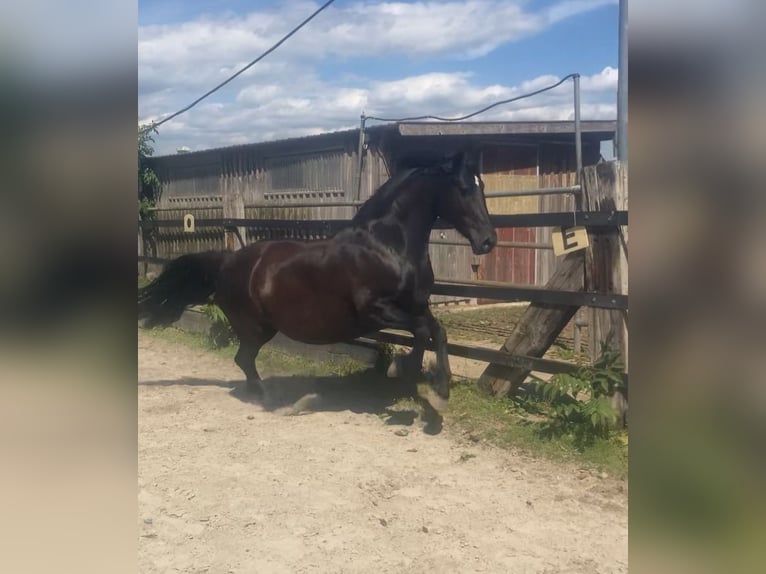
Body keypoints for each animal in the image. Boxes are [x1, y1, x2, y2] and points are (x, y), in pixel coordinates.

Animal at [140, 153, 498, 420]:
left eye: (482, 186)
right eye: (463, 188)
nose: (488, 241)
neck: (387, 246)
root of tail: (227, 261)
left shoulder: (417, 305)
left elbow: (438, 332)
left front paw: (440, 392)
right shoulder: (377, 311)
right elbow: (422, 332)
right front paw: (402, 370)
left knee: (244, 360)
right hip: (255, 327)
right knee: (243, 359)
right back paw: (270, 400)